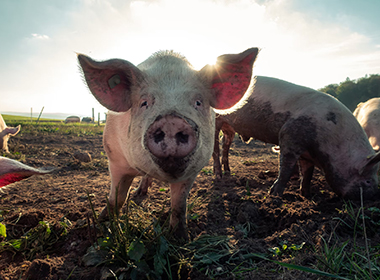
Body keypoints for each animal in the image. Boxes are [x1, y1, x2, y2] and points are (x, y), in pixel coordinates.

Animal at [78, 47, 260, 238]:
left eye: (198, 102)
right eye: (144, 102)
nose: (172, 121)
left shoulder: (192, 171)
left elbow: (179, 205)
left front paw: (180, 237)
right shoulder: (115, 159)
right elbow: (116, 197)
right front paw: (102, 225)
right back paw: (139, 193)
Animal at [212, 75, 380, 200]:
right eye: (368, 180)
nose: (374, 196)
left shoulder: (307, 154)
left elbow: (307, 173)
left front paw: (307, 195)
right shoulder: (288, 136)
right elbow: (286, 168)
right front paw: (274, 195)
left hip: (229, 128)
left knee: (225, 145)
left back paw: (228, 172)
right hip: (216, 120)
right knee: (215, 148)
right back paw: (218, 176)